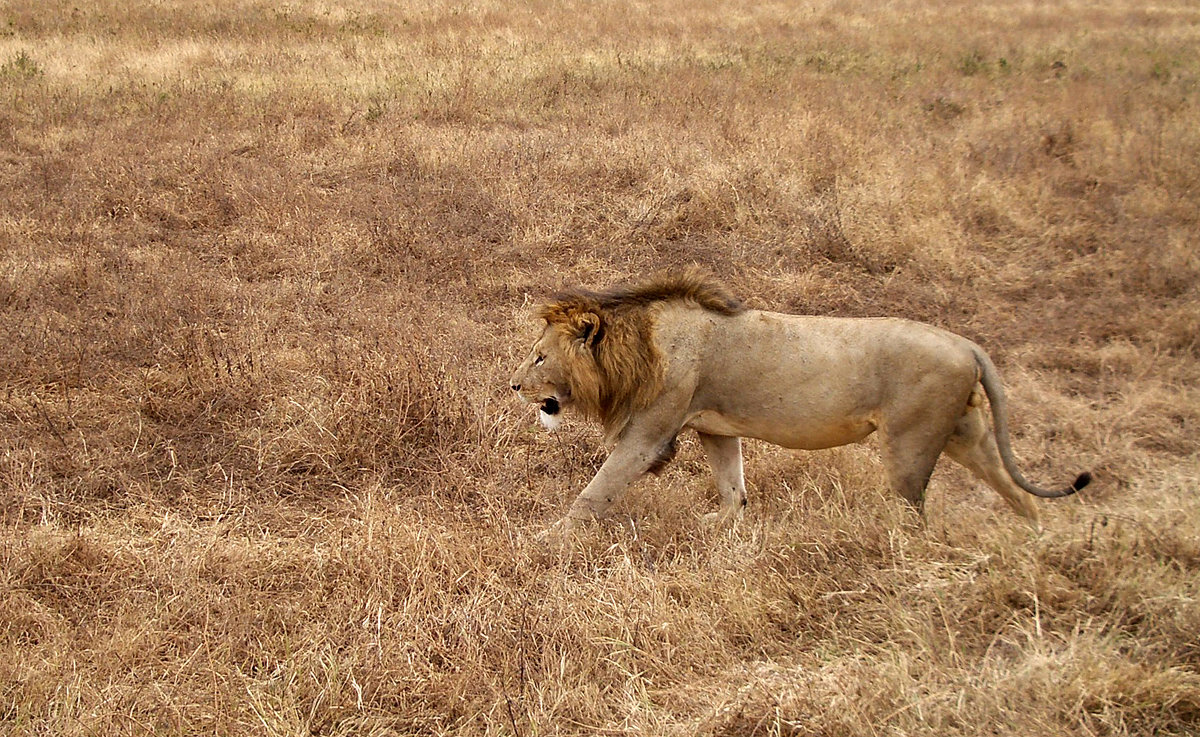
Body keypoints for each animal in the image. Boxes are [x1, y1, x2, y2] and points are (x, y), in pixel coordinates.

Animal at [511, 268, 1094, 535]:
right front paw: (721, 526)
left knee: (916, 512)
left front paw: (550, 537)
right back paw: (1034, 542)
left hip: (910, 444)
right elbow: (733, 487)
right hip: (964, 434)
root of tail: (967, 344)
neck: (636, 347)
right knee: (1015, 493)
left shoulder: (649, 432)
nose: (514, 386)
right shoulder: (716, 428)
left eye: (539, 357)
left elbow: (595, 491)